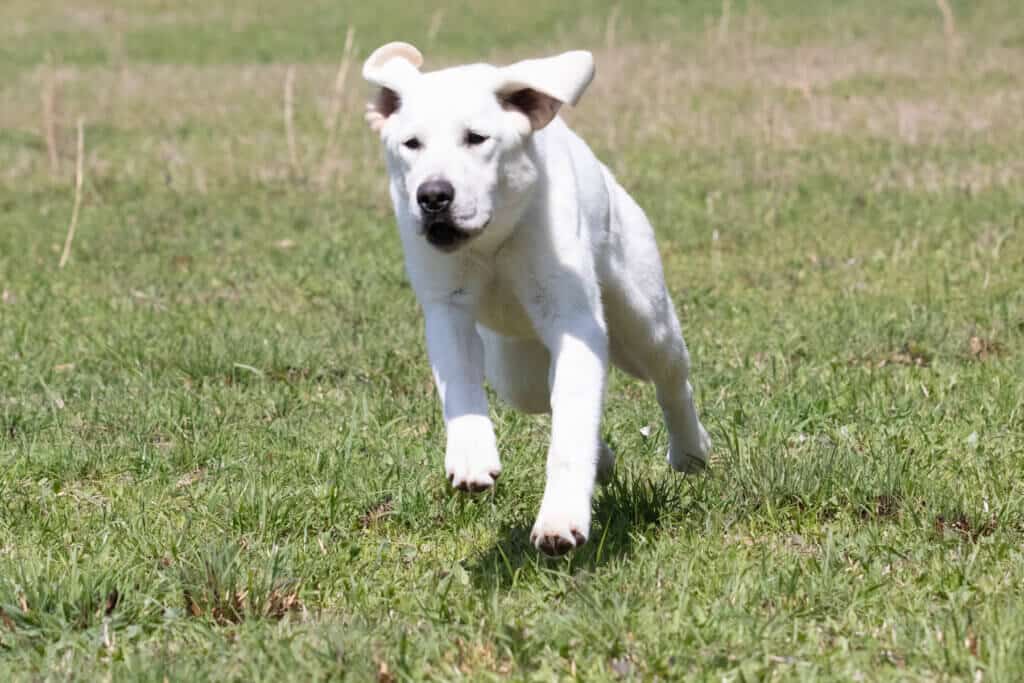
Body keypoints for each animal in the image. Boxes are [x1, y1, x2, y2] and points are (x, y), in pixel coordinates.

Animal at [364, 42, 708, 557]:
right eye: (411, 144)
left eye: (477, 138)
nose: (433, 196)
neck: (494, 241)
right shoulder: (447, 309)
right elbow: (461, 388)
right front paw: (471, 457)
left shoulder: (576, 323)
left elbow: (571, 429)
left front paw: (561, 521)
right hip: (513, 369)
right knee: (541, 393)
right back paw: (605, 460)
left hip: (644, 320)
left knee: (670, 379)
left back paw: (690, 450)